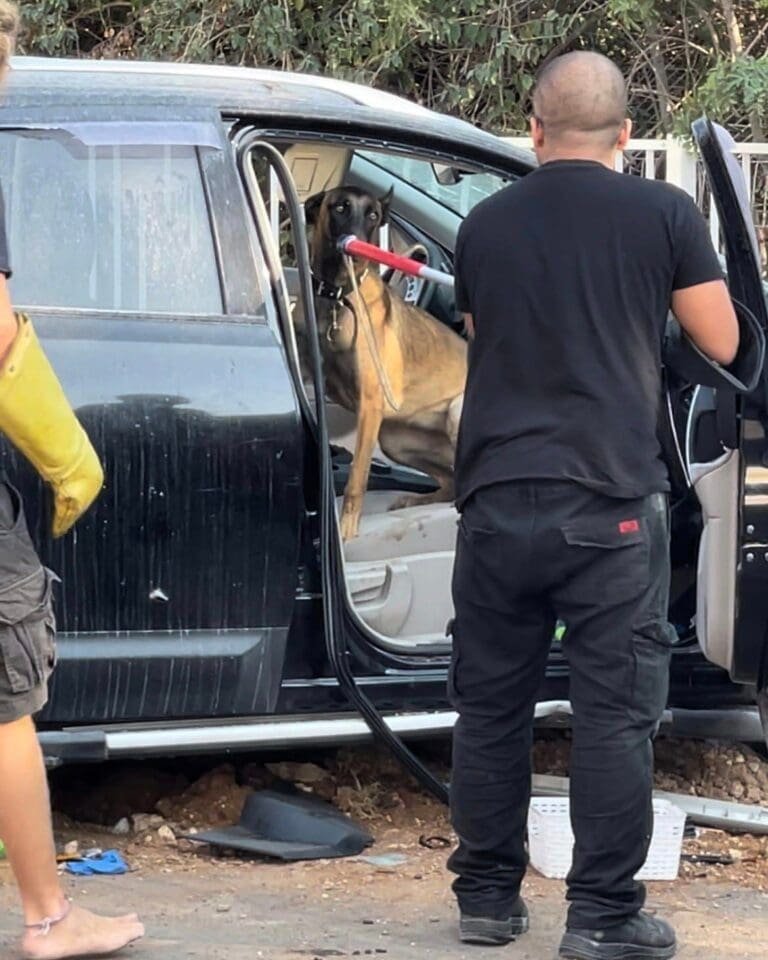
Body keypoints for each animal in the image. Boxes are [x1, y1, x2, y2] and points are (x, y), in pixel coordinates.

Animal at [300, 187, 468, 540]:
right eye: (339, 207)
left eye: (374, 215)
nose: (359, 252)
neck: (337, 298)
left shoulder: (370, 405)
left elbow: (357, 478)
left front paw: (346, 530)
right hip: (396, 442)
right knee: (450, 480)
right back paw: (416, 501)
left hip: (455, 414)